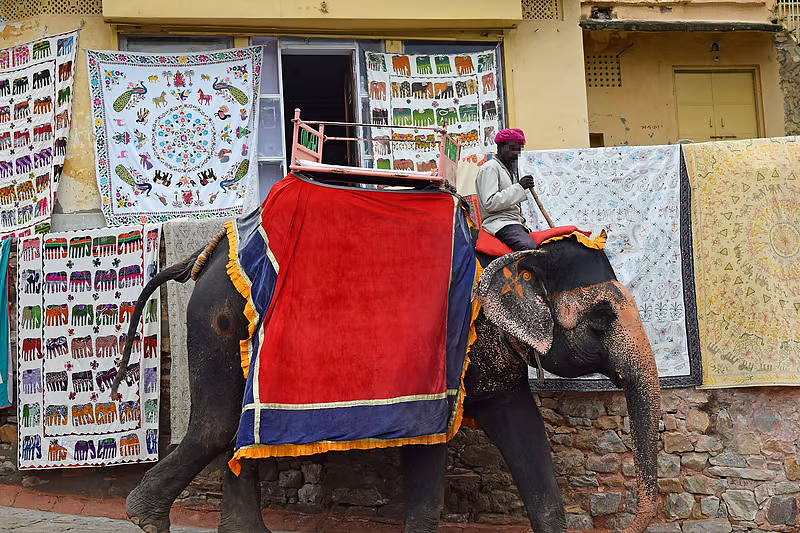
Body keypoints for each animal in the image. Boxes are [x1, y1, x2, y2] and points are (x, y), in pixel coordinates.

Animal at [112, 220, 660, 533]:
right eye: (601, 321)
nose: (627, 524)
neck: (521, 254)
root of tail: (202, 254)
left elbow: (522, 429)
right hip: (219, 319)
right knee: (217, 426)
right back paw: (144, 518)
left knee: (234, 433)